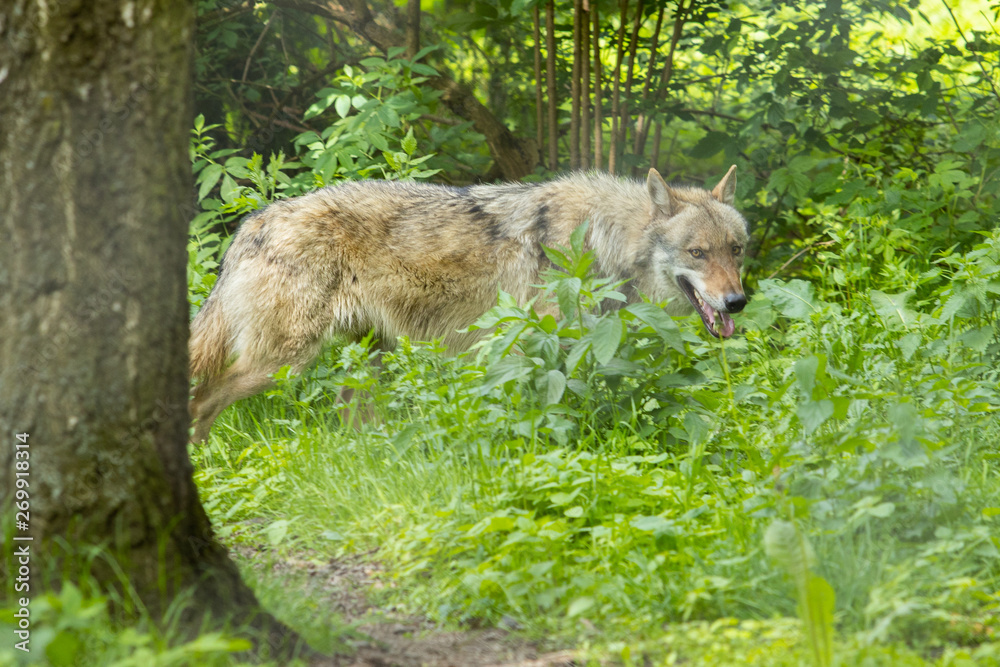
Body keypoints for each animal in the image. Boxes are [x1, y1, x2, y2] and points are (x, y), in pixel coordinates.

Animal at [189, 166, 749, 442]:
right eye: (698, 253)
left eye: (736, 249)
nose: (737, 301)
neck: (599, 240)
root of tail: (251, 224)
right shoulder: (530, 351)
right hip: (282, 362)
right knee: (203, 399)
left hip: (367, 363)